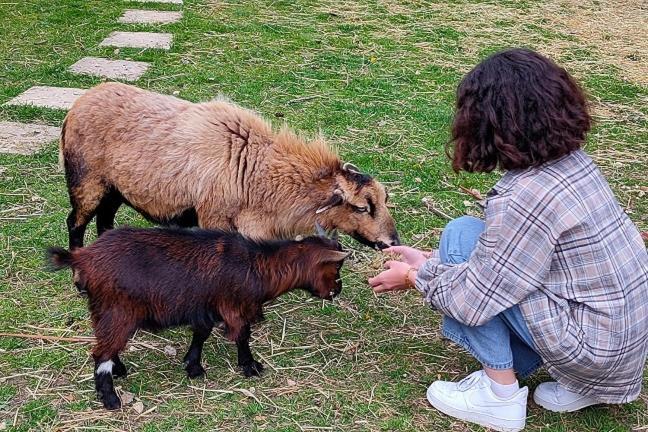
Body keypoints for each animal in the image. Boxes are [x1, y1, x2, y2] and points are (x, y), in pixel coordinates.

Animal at [46, 228, 346, 410]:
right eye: (336, 266)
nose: (337, 290)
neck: (258, 265)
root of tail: (82, 257)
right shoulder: (233, 307)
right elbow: (242, 335)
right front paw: (250, 366)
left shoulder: (204, 307)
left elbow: (201, 334)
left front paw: (193, 366)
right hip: (118, 311)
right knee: (101, 352)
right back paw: (110, 398)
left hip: (105, 311)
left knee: (107, 346)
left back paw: (119, 369)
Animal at [59, 82, 400, 250]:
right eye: (361, 207)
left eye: (384, 200)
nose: (393, 242)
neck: (256, 169)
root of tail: (78, 104)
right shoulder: (213, 219)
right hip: (86, 181)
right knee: (75, 222)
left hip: (114, 189)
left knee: (104, 221)